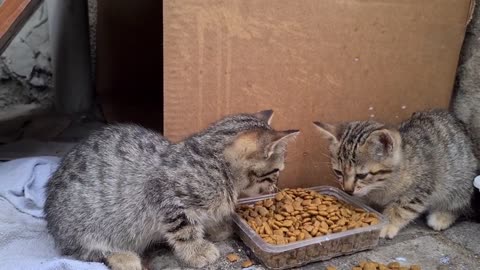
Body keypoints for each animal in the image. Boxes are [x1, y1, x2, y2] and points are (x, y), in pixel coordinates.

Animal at [46, 110, 300, 270]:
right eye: (277, 170)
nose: (277, 187)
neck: (215, 163)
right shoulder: (164, 197)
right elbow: (185, 229)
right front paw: (198, 251)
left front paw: (218, 228)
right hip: (86, 225)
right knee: (81, 252)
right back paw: (123, 257)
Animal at [316, 109, 476, 238]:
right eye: (338, 172)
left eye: (362, 175)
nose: (347, 191)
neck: (381, 187)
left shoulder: (419, 189)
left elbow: (402, 208)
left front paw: (388, 224)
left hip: (460, 181)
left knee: (459, 204)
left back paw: (442, 216)